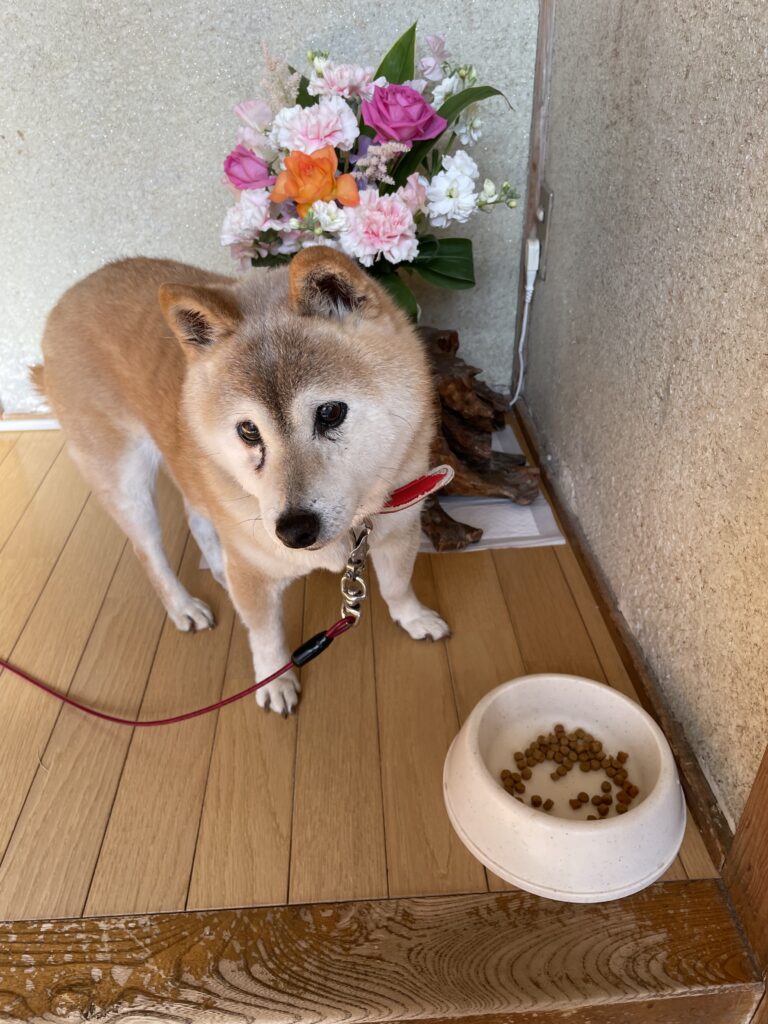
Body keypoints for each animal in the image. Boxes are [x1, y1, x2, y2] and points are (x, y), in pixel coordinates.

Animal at [33, 246, 450, 714]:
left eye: (330, 412)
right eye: (249, 431)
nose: (294, 531)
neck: (352, 530)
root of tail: (69, 298)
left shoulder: (401, 529)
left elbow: (397, 585)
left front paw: (413, 618)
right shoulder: (255, 572)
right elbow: (265, 635)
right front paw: (276, 680)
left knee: (198, 519)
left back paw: (218, 568)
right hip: (125, 481)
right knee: (150, 553)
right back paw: (183, 605)